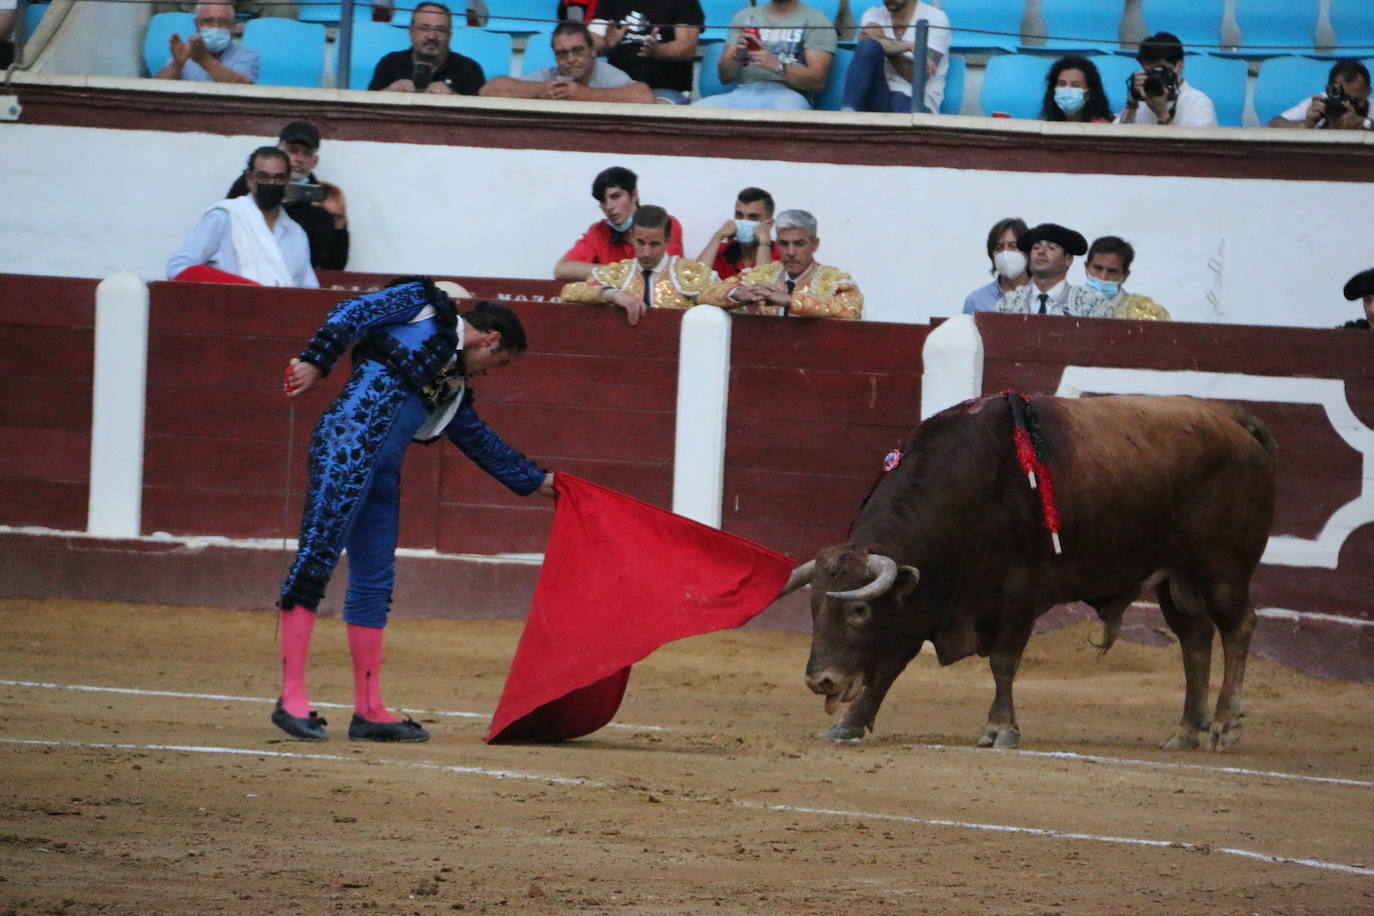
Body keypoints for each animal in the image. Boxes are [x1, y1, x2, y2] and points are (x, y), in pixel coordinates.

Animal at [785, 395, 1275, 752]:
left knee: (1238, 629)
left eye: (860, 611)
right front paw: (850, 724)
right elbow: (889, 665)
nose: (820, 681)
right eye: (813, 608)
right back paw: (1186, 731)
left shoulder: (1018, 596)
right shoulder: (925, 600)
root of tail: (1230, 417)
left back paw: (1225, 726)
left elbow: (1003, 663)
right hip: (1177, 580)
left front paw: (1001, 728)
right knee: (1195, 641)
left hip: (1223, 571)